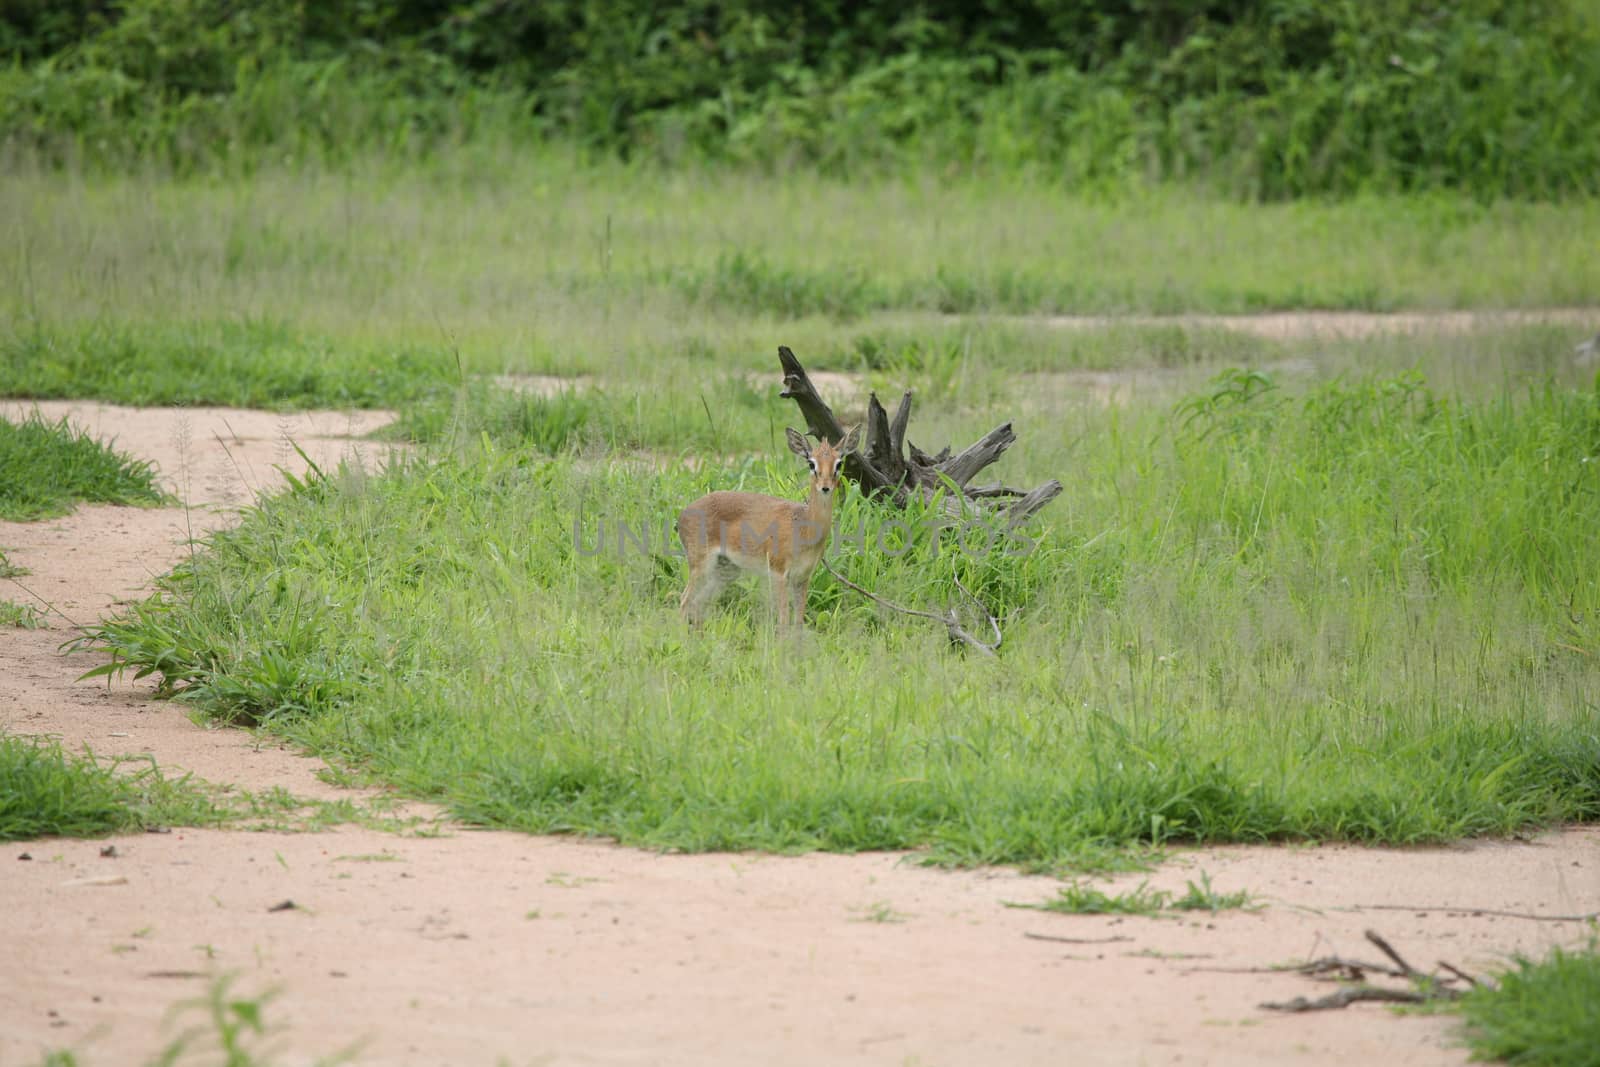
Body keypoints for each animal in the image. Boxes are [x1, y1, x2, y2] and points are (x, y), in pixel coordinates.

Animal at [681, 422, 864, 630]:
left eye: (839, 463)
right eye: (811, 463)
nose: (825, 487)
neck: (804, 528)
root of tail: (682, 515)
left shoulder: (802, 578)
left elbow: (798, 622)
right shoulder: (779, 574)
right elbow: (783, 621)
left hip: (726, 570)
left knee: (698, 603)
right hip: (700, 565)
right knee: (684, 600)